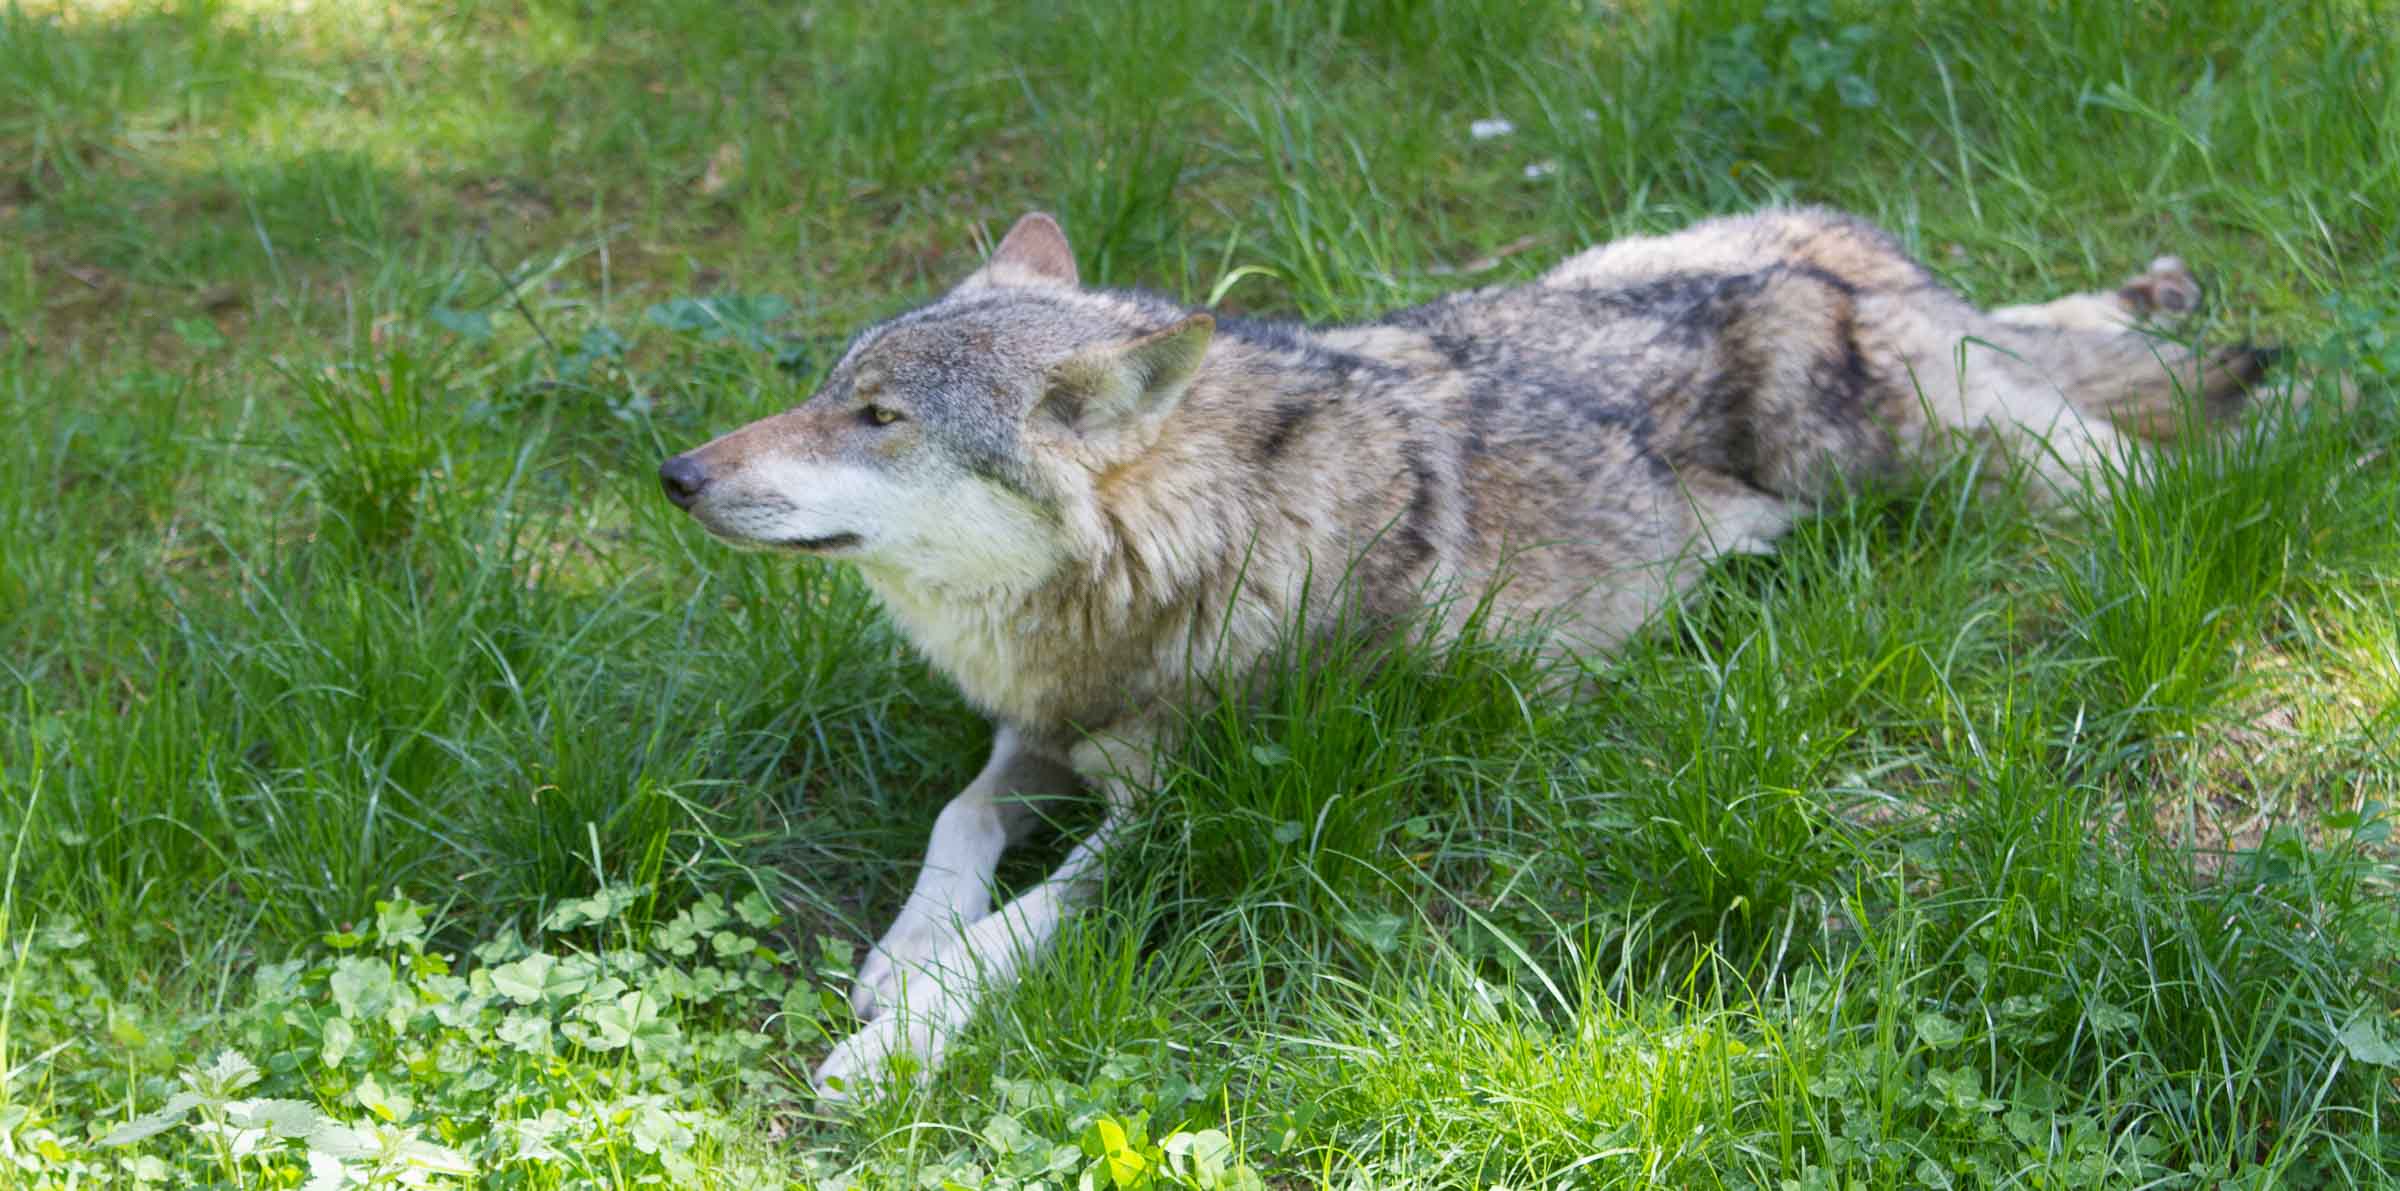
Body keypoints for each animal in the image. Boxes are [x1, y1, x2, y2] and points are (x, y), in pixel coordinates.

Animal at [652, 206, 2265, 1099]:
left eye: (879, 419)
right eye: (827, 389)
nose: (674, 472)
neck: (1181, 555)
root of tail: (1846, 256)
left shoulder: (1230, 807)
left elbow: (1037, 918)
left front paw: (901, 1036)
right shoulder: (1041, 733)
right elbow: (957, 820)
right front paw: (904, 950)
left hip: (1946, 461)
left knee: (2133, 464)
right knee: (2064, 333)